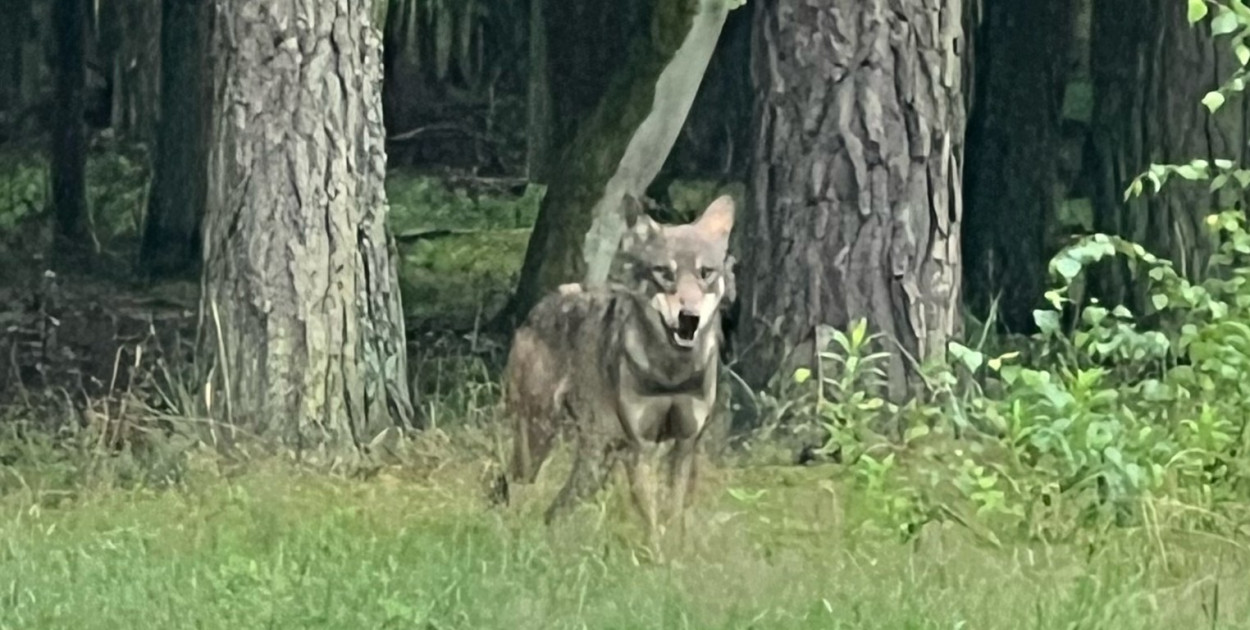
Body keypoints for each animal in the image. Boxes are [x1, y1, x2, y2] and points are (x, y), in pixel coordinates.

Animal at [495, 195, 730, 545]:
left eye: (705, 273)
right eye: (665, 273)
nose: (689, 317)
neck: (671, 373)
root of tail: (537, 309)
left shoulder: (685, 446)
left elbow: (674, 516)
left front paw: (676, 553)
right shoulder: (641, 449)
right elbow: (652, 524)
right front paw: (656, 555)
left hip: (596, 463)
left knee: (553, 510)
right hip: (539, 436)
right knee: (517, 492)